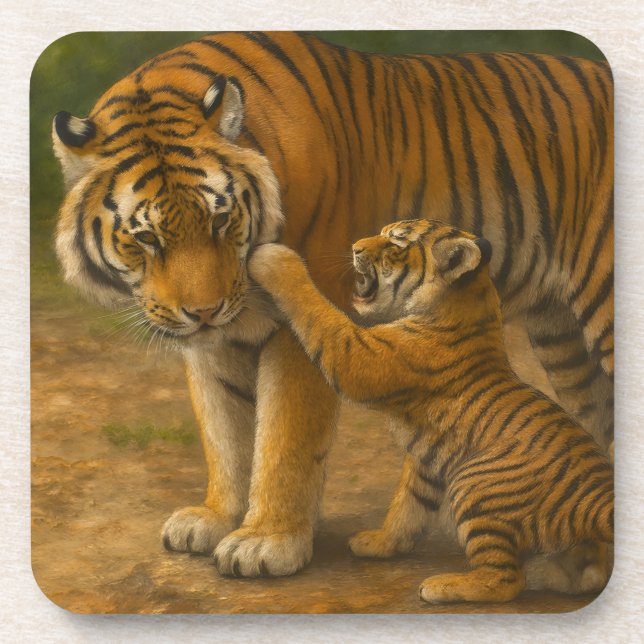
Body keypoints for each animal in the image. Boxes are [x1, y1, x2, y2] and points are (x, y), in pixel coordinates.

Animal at [246, 218, 614, 602]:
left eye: (396, 241)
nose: (356, 246)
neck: (471, 299)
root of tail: (597, 499)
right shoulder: (427, 458)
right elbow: (408, 504)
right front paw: (377, 543)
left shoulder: (359, 355)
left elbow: (318, 310)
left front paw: (272, 257)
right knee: (585, 571)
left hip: (475, 486)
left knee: (506, 580)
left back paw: (442, 586)